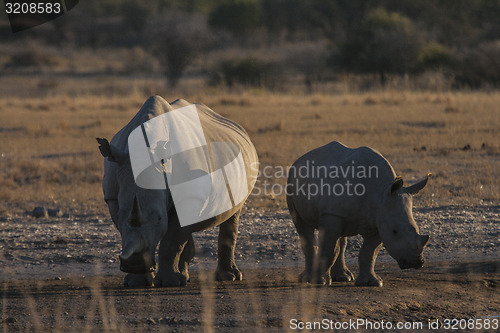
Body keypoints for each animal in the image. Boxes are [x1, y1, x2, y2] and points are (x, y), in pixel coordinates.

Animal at [96, 95, 258, 286]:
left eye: (159, 219)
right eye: (120, 216)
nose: (134, 264)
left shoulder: (189, 195)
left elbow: (172, 239)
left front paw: (169, 282)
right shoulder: (112, 196)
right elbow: (130, 229)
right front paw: (137, 282)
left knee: (233, 213)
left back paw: (228, 277)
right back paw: (185, 277)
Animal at [288, 140, 432, 286]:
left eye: (416, 228)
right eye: (395, 231)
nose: (416, 262)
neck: (381, 192)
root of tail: (300, 159)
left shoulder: (379, 219)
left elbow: (369, 253)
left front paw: (372, 282)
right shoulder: (332, 213)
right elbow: (329, 250)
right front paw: (319, 281)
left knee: (340, 239)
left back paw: (343, 278)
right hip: (292, 182)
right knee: (303, 227)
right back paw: (307, 279)